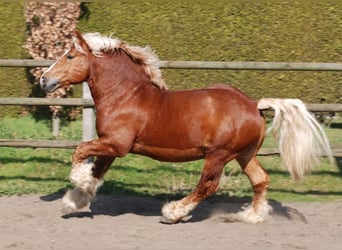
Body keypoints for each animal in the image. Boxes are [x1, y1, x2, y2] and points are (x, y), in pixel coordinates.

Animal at [39, 30, 332, 224]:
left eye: (70, 56)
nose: (43, 79)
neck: (125, 96)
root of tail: (253, 104)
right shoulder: (111, 146)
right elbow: (96, 173)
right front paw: (75, 201)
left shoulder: (117, 144)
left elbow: (80, 151)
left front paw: (75, 183)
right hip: (245, 154)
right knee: (260, 179)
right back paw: (250, 215)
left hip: (218, 155)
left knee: (207, 186)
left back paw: (173, 212)